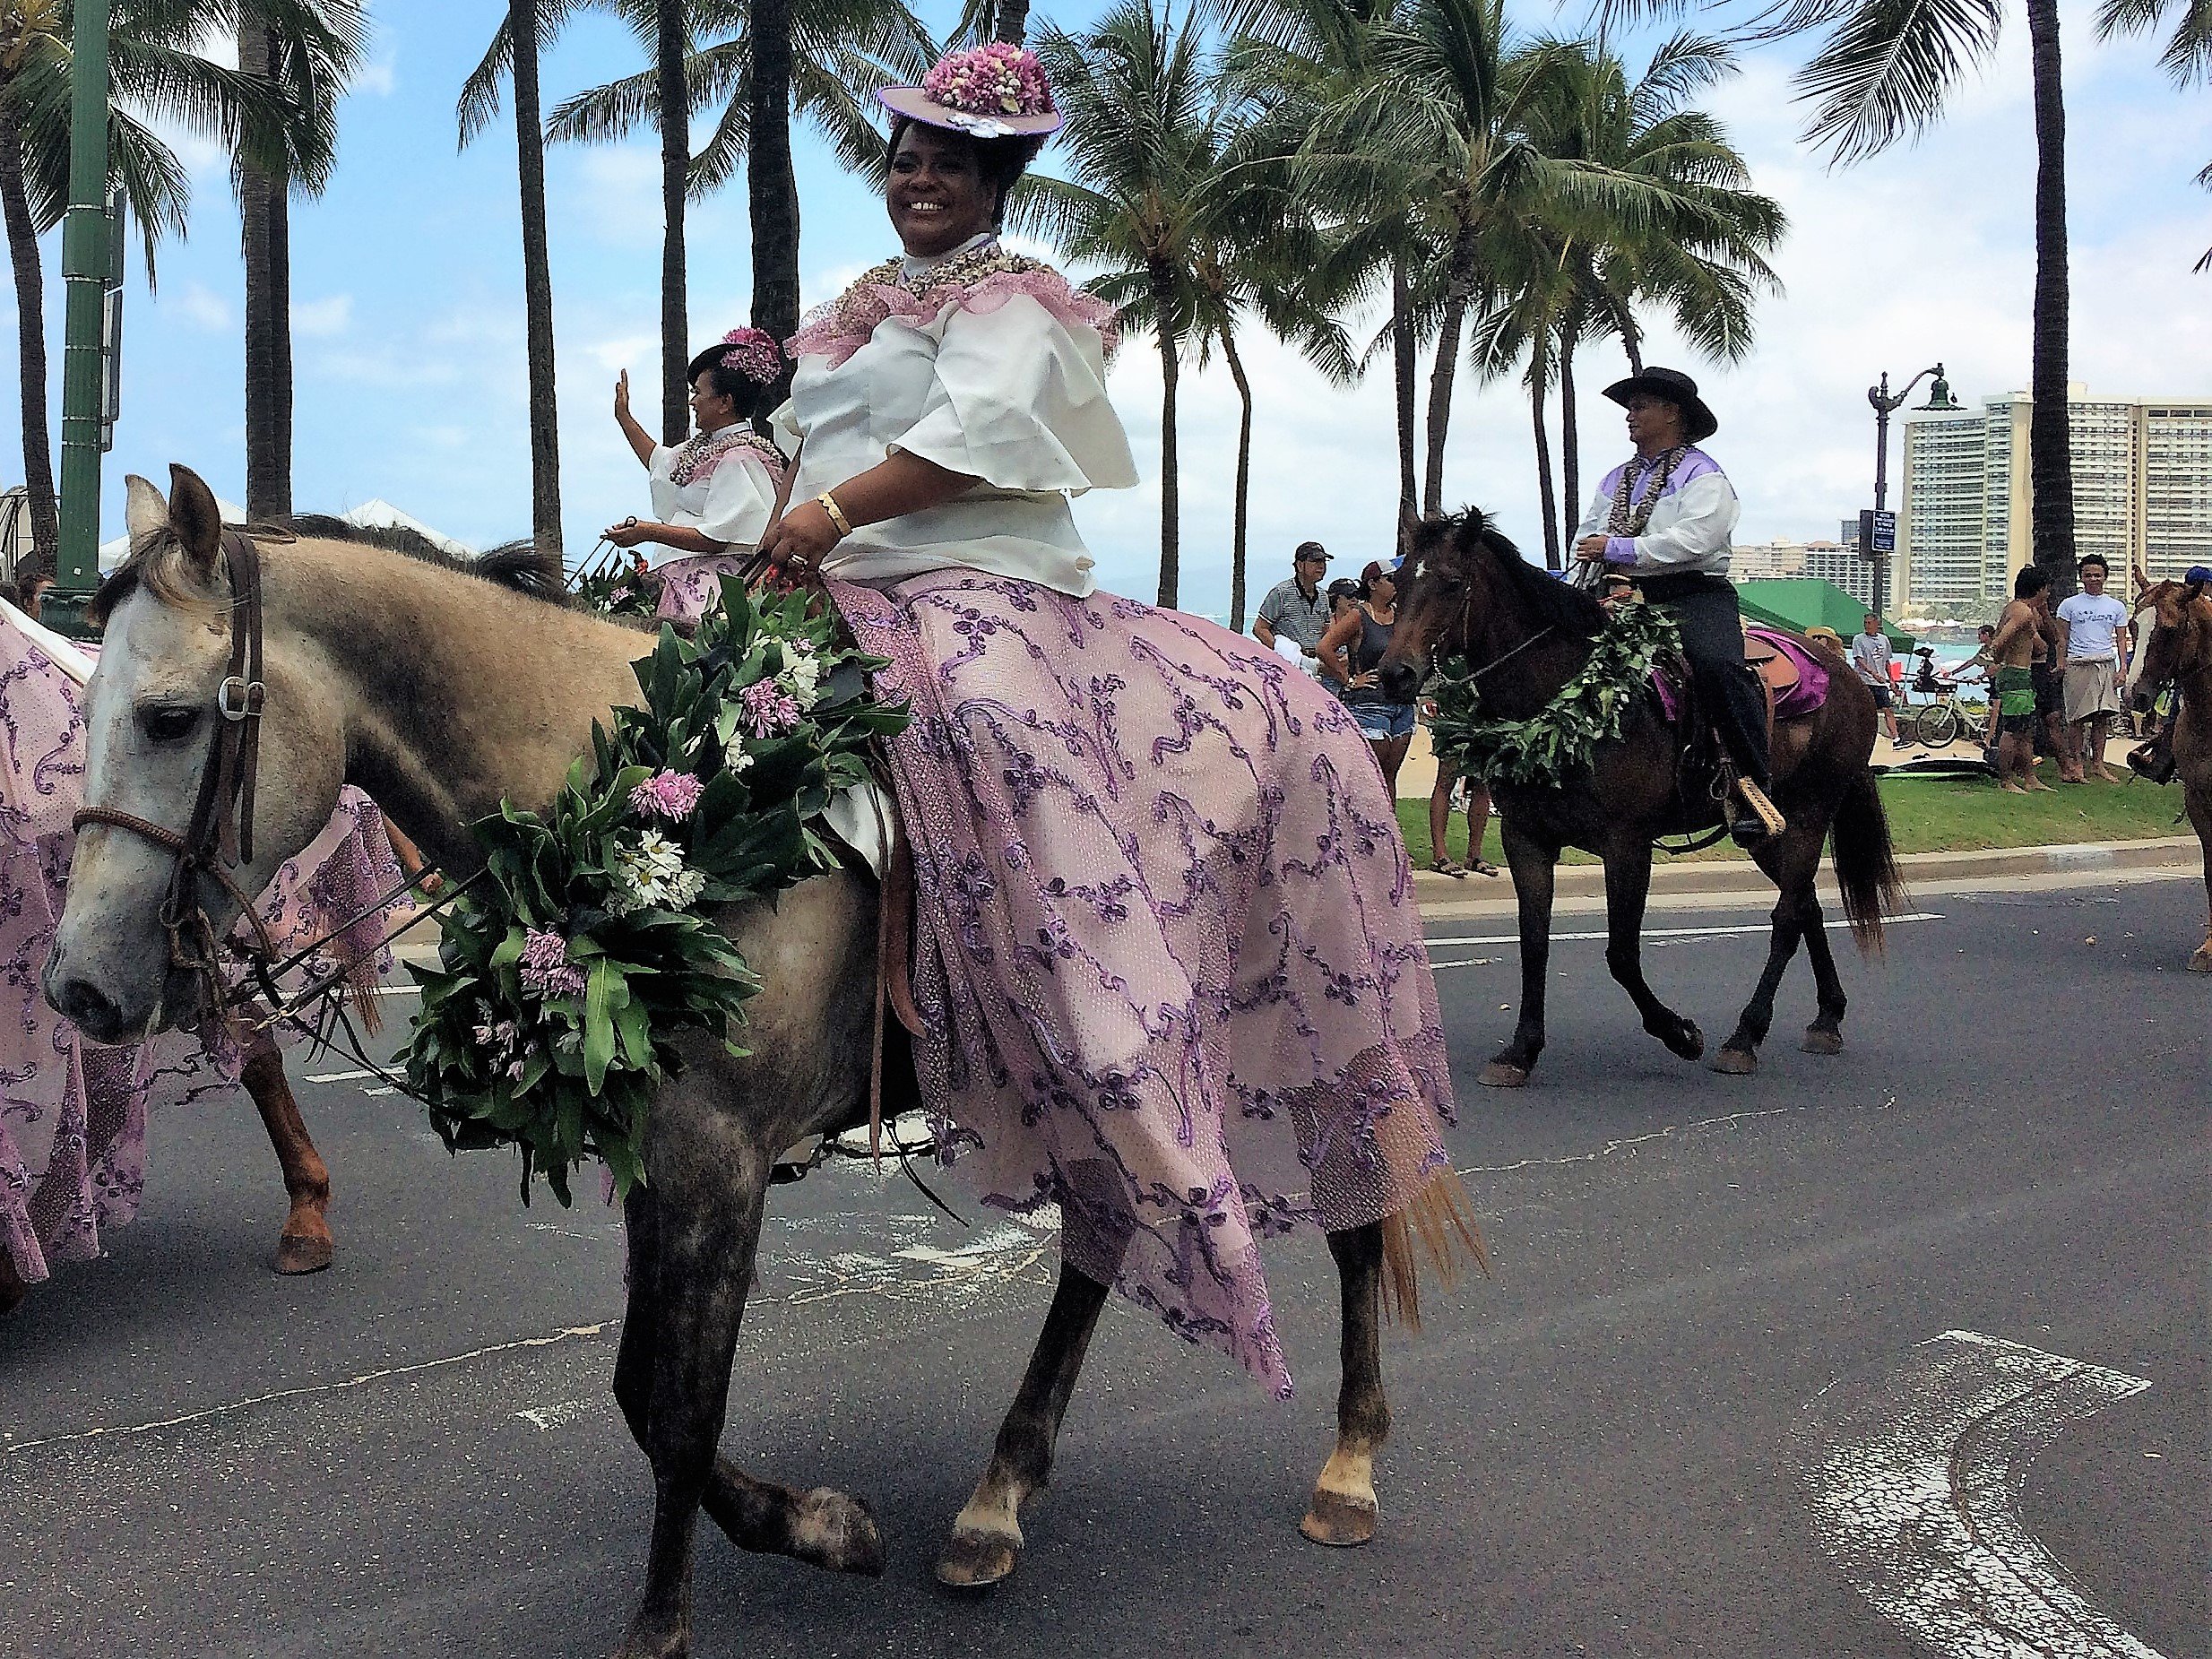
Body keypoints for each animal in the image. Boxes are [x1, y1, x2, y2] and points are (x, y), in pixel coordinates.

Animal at [43, 469, 1442, 1659]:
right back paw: (996, 1500)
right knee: (1104, 1241)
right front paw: (817, 1525)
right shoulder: (656, 1153)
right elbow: (639, 1387)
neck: (633, 789)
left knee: (1352, 1215)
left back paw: (1350, 1465)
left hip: (1311, 1023)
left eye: (169, 718)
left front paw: (670, 1619)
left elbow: (680, 1406)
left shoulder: (720, 1163)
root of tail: (1322, 706)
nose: (77, 986)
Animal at [1380, 513, 1902, 1084]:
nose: (1394, 674)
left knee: (1788, 917)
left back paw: (1744, 1037)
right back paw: (1827, 1017)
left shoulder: (1626, 844)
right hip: (1766, 830)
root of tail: (1847, 674)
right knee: (1804, 904)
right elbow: (1533, 942)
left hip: (1809, 814)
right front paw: (1520, 1050)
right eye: (1398, 583)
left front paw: (1680, 1034)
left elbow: (1622, 955)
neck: (1567, 695)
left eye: (1453, 583)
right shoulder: (1526, 839)